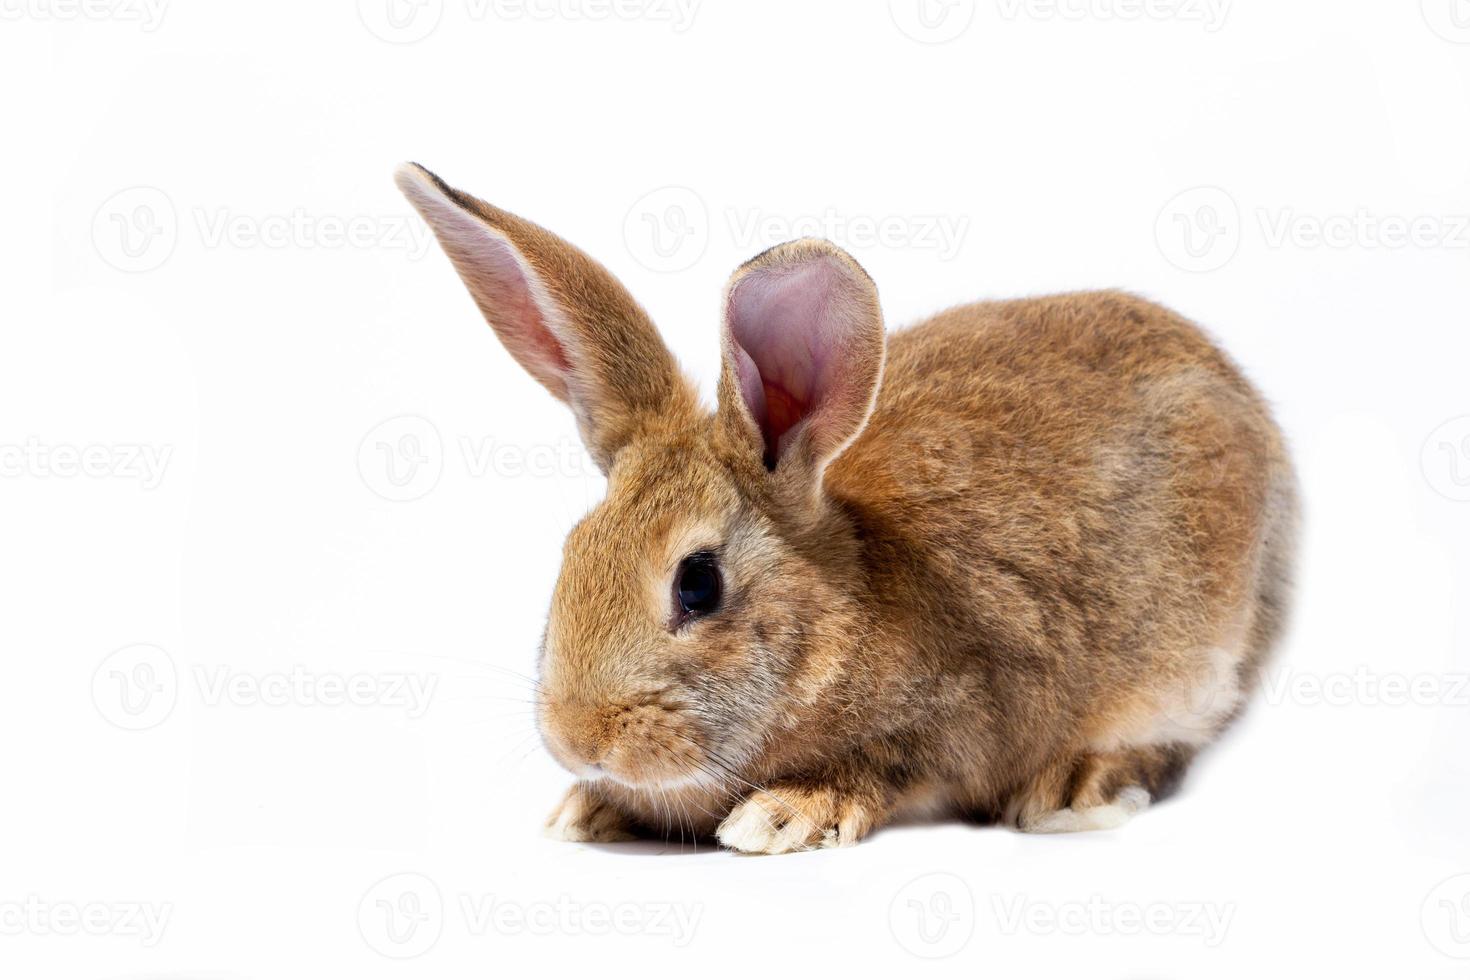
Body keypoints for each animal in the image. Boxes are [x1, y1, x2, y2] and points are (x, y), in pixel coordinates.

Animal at [393, 160, 1299, 852]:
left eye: (698, 584)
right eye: (571, 552)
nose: (579, 740)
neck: (838, 617)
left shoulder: (954, 716)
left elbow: (882, 769)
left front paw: (782, 816)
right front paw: (587, 811)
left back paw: (1077, 789)